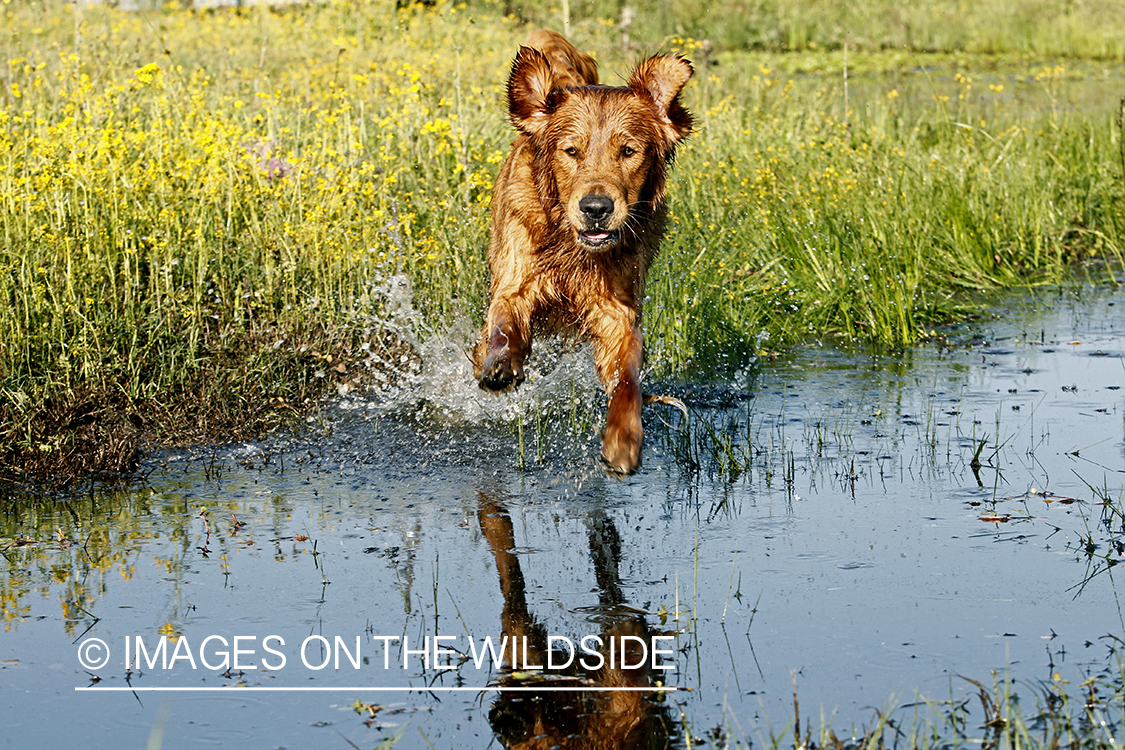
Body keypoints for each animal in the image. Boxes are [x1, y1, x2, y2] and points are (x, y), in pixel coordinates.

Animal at [468, 30, 693, 474]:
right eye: (571, 151)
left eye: (629, 151)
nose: (596, 208)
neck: (571, 247)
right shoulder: (515, 281)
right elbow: (504, 325)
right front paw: (500, 364)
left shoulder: (617, 311)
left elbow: (626, 379)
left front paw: (623, 439)